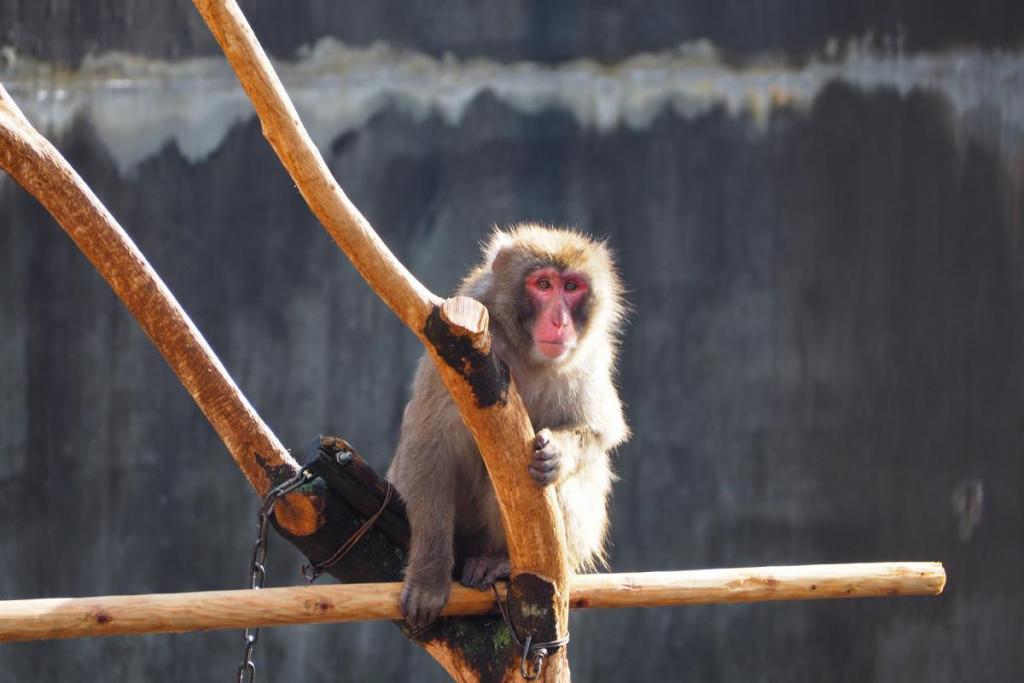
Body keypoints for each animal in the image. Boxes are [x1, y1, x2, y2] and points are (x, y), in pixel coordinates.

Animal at [387, 222, 626, 626]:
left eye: (571, 287)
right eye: (543, 284)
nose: (560, 321)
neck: (526, 352)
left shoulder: (591, 356)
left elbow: (601, 430)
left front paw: (557, 454)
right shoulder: (453, 350)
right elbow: (429, 442)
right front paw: (429, 577)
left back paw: (500, 561)